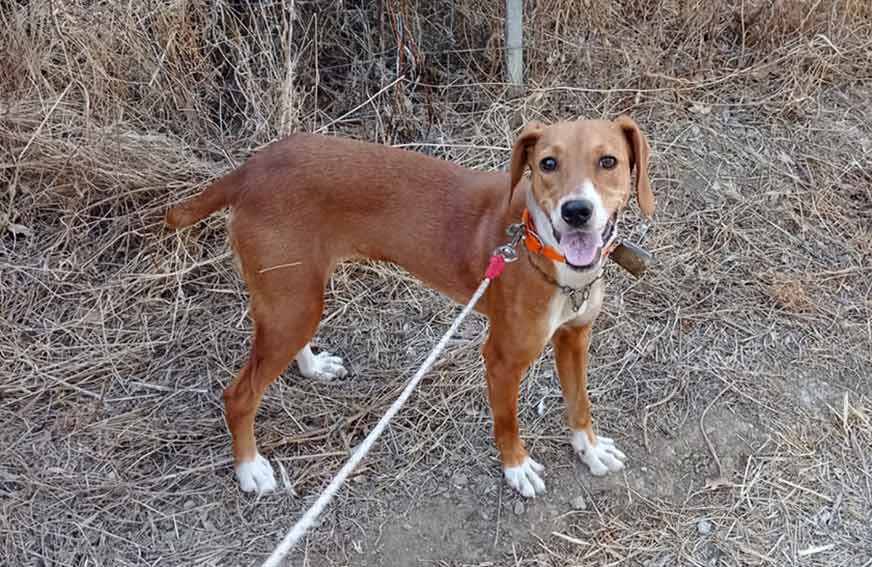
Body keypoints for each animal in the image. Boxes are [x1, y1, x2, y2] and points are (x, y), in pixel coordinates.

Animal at [167, 118, 652, 496]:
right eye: (547, 163)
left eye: (608, 162)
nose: (576, 211)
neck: (542, 246)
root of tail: (250, 168)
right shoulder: (501, 359)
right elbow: (507, 422)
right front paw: (516, 469)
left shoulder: (575, 338)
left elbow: (579, 402)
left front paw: (590, 449)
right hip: (293, 302)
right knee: (238, 395)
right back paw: (250, 468)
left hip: (297, 295)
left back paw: (312, 367)